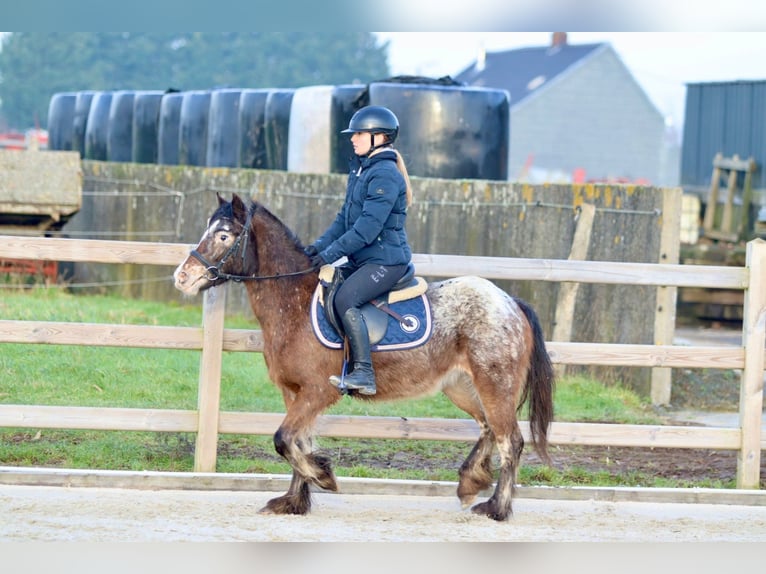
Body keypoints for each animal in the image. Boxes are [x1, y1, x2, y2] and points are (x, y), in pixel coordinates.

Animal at [175, 194, 560, 520]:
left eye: (223, 235)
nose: (182, 277)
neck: (294, 302)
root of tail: (510, 301)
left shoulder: (318, 391)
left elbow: (284, 439)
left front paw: (323, 477)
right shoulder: (295, 393)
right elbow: (296, 442)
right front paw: (294, 501)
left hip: (496, 384)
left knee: (511, 441)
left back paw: (496, 508)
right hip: (462, 387)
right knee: (488, 428)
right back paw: (470, 483)